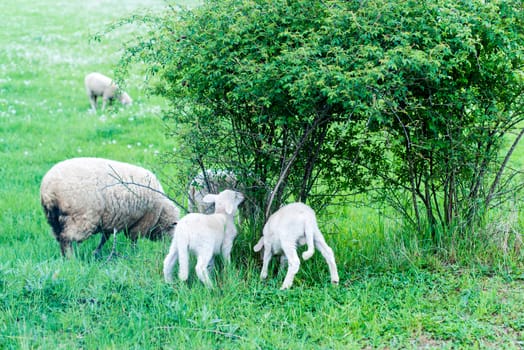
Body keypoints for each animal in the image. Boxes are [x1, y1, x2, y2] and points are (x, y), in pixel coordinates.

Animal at [40, 157, 179, 258]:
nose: (170, 248)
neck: (161, 212)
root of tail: (49, 189)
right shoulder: (141, 222)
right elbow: (133, 240)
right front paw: (135, 253)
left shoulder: (110, 220)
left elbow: (104, 238)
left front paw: (96, 252)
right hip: (81, 218)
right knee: (66, 239)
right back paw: (71, 259)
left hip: (53, 219)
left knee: (60, 238)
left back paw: (65, 258)